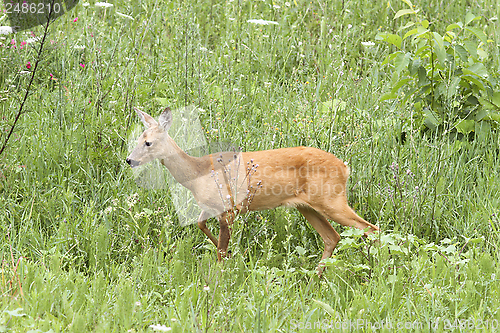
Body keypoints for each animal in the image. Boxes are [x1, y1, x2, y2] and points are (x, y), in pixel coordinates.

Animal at [126, 107, 378, 274]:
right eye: (138, 138)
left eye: (148, 142)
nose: (129, 160)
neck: (197, 173)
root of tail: (344, 167)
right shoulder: (211, 208)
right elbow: (201, 225)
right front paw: (232, 256)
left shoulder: (228, 208)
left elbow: (220, 249)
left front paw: (220, 274)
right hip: (307, 207)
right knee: (332, 237)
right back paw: (315, 279)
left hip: (332, 200)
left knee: (370, 228)